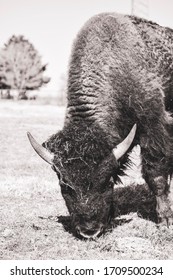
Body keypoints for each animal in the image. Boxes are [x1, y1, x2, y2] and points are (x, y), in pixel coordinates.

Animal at [27, 13, 173, 238]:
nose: (89, 231)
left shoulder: (154, 125)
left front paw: (165, 220)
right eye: (64, 185)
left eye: (106, 182)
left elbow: (155, 173)